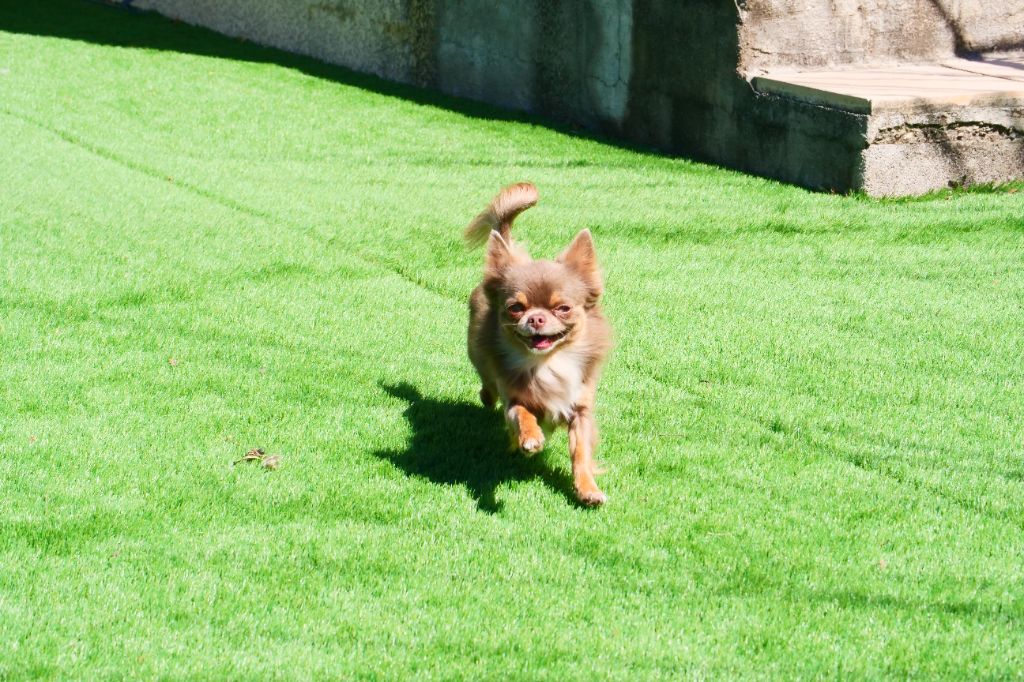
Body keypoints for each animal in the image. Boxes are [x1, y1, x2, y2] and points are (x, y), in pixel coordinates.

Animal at [468, 183, 610, 501]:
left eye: (563, 308)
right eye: (515, 308)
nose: (535, 318)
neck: (549, 363)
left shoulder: (580, 409)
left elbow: (580, 453)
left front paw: (587, 489)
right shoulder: (513, 397)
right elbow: (522, 414)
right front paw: (530, 439)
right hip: (478, 354)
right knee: (488, 384)